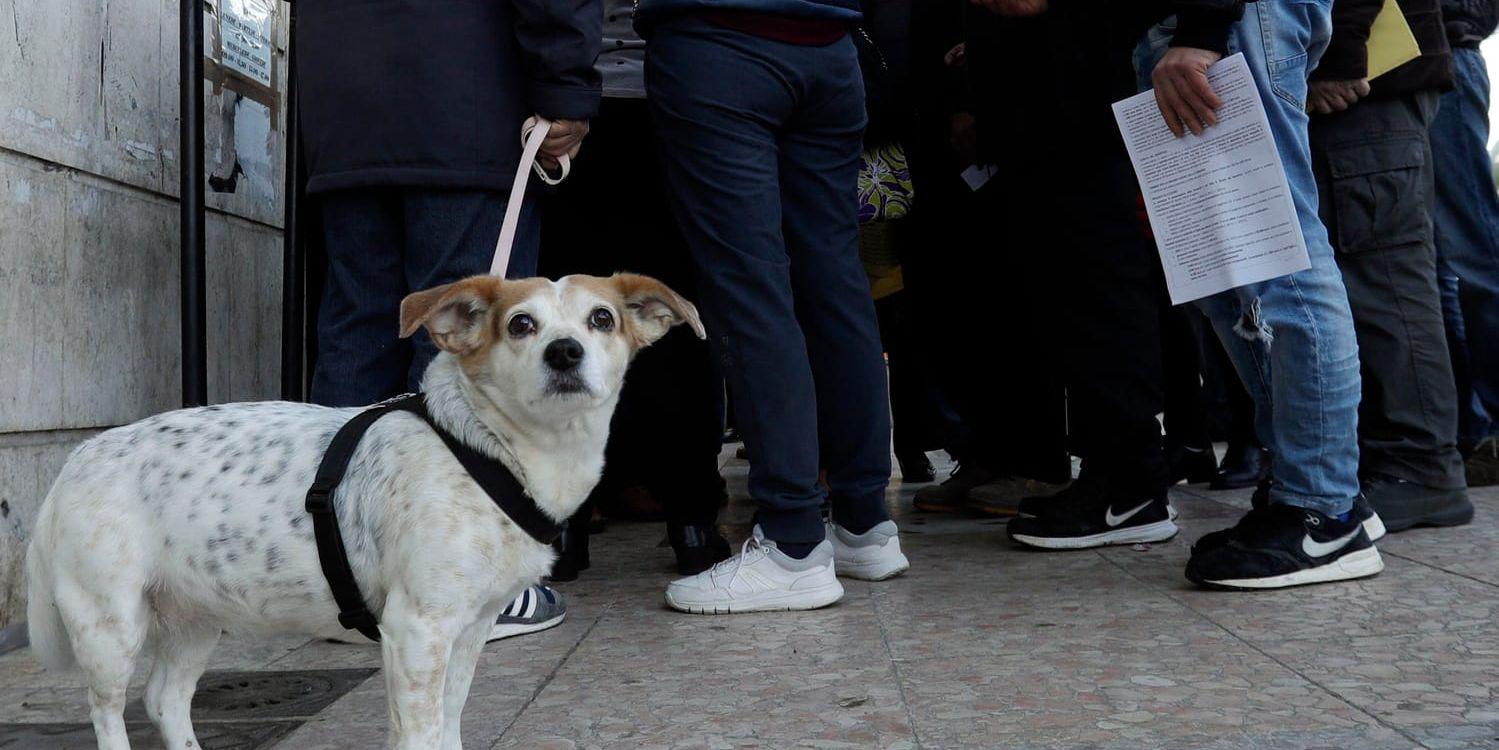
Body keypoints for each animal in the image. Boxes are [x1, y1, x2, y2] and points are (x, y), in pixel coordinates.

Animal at [23, 273, 701, 750]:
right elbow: (421, 733)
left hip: (196, 615)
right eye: (520, 325)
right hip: (110, 625)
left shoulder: (468, 630)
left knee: (165, 699)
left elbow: (446, 724)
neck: (489, 451)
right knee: (109, 710)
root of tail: (77, 456)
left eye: (601, 318)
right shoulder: (417, 630)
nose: (564, 352)